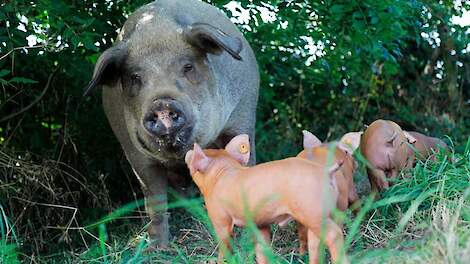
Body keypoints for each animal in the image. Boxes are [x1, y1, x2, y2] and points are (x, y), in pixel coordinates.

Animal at [85, 0, 260, 248]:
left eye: (187, 67)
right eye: (135, 77)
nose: (161, 103)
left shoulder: (242, 117)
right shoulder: (135, 154)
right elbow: (155, 201)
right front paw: (157, 248)